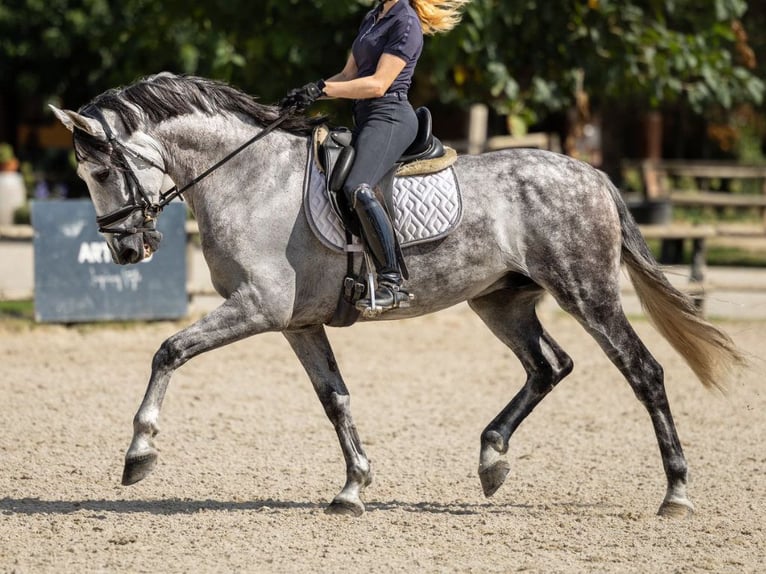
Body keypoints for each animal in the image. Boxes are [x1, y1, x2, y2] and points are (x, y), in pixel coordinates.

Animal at [52, 72, 744, 516]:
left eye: (100, 170)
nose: (125, 250)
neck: (249, 180)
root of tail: (591, 172)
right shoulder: (296, 322)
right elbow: (334, 398)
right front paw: (353, 487)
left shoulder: (256, 307)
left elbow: (168, 350)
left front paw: (139, 452)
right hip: (501, 301)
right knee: (549, 366)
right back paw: (492, 459)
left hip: (587, 293)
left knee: (644, 371)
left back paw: (676, 493)